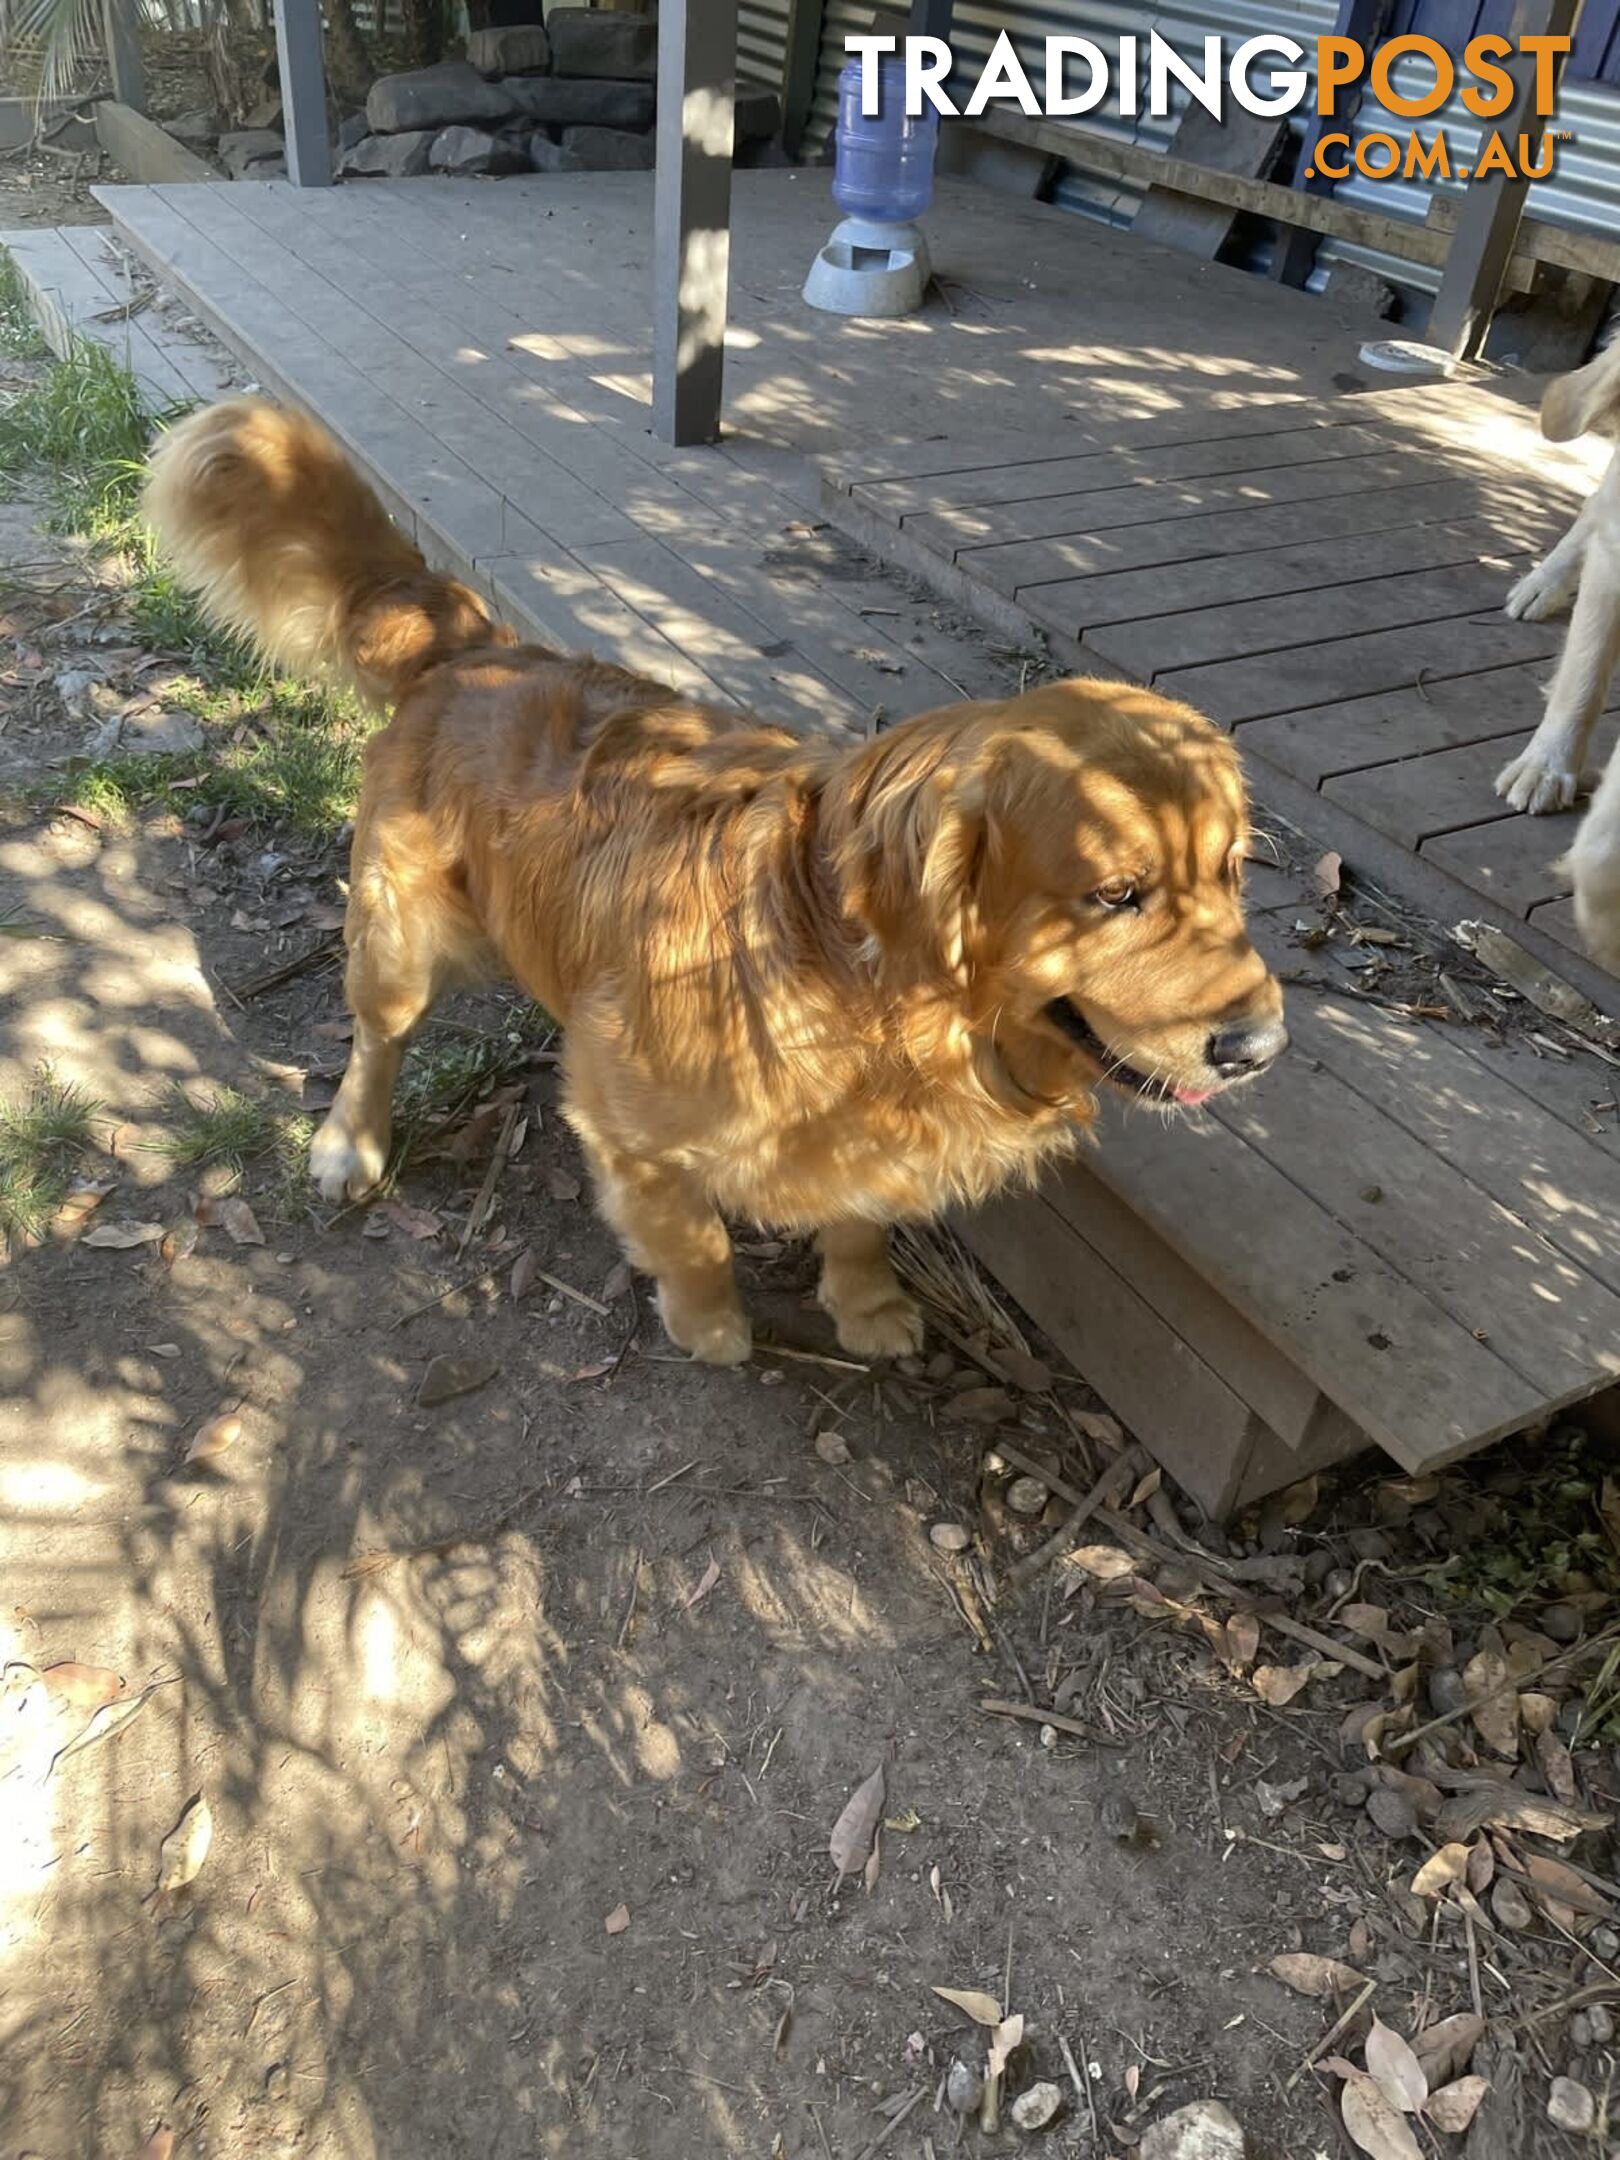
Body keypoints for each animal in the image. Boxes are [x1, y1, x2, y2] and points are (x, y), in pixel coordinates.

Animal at [145, 397, 1287, 1356]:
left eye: (1232, 873)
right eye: (1116, 894)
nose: (1260, 1049)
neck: (864, 988)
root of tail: (476, 649)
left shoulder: (870, 1140)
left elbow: (860, 1220)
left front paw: (865, 1305)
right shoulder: (625, 1119)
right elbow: (690, 1234)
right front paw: (711, 1326)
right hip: (397, 940)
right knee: (376, 1040)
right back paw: (351, 1144)